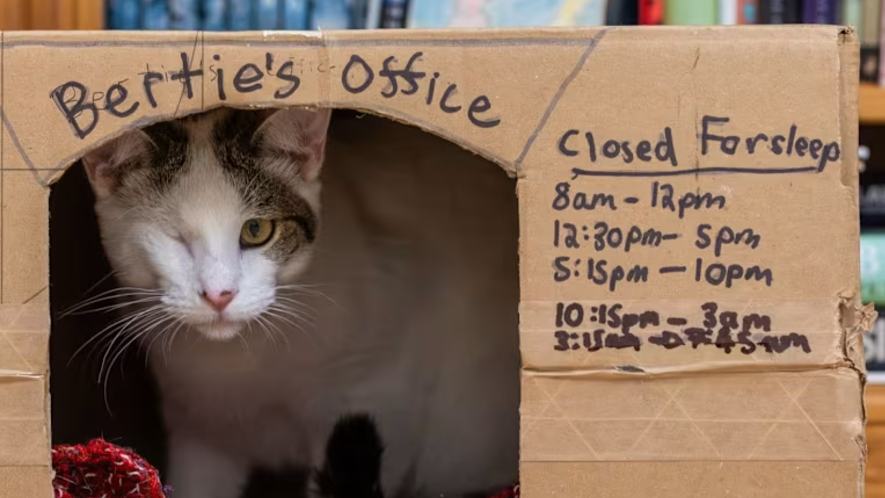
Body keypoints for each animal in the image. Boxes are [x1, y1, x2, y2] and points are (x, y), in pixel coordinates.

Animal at [79, 108, 520, 498]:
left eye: (256, 230)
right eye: (173, 237)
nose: (219, 295)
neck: (237, 365)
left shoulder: (376, 399)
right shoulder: (199, 433)